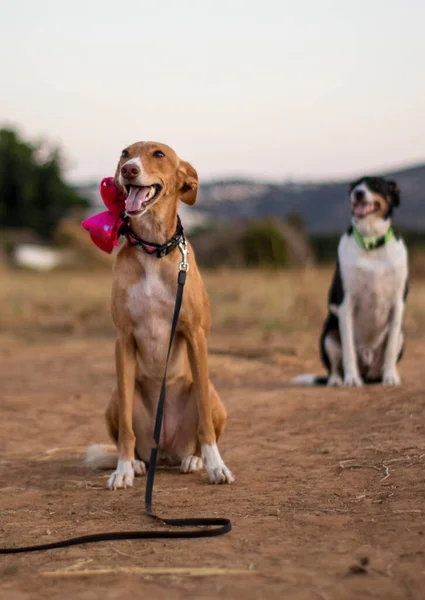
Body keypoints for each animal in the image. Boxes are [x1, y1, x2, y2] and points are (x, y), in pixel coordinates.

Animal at [85, 141, 232, 488]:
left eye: (159, 154)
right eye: (125, 153)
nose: (129, 170)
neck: (153, 248)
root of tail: (164, 452)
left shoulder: (195, 335)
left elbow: (205, 422)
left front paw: (216, 465)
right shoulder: (123, 340)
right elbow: (125, 430)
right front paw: (123, 469)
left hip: (213, 395)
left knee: (198, 430)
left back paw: (195, 459)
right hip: (115, 396)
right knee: (131, 434)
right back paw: (139, 464)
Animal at [294, 176, 408, 386]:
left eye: (376, 185)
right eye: (355, 186)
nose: (358, 193)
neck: (371, 243)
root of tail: (368, 372)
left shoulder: (398, 303)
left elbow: (389, 350)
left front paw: (391, 377)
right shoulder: (345, 303)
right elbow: (348, 350)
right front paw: (352, 379)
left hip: (401, 337)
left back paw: (382, 376)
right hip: (328, 335)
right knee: (334, 368)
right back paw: (337, 380)